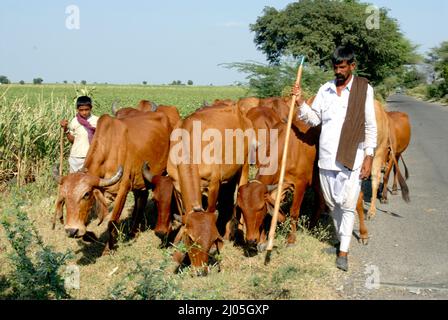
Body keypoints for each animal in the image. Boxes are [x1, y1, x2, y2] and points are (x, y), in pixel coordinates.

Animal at [53, 110, 172, 252]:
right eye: (64, 196)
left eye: (86, 194)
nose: (71, 231)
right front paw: (91, 236)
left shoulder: (123, 190)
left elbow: (112, 222)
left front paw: (108, 249)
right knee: (141, 199)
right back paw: (133, 231)